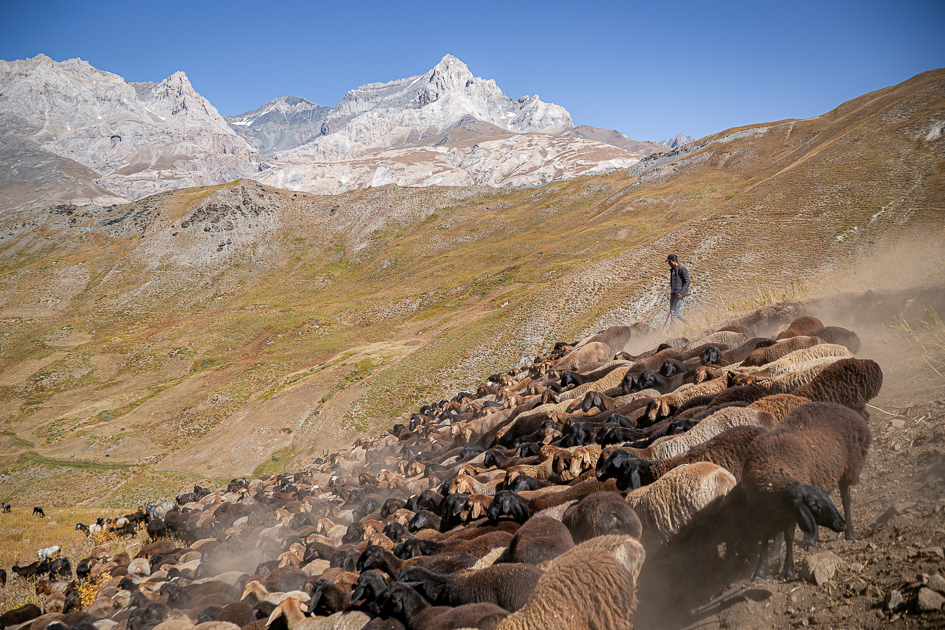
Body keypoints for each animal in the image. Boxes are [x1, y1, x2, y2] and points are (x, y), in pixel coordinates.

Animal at [742, 401, 872, 581]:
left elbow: (789, 537)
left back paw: (849, 534)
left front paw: (788, 571)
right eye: (814, 505)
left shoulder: (791, 512)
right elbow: (766, 537)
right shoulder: (762, 512)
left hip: (849, 468)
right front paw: (760, 571)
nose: (841, 524)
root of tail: (842, 407)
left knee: (846, 500)